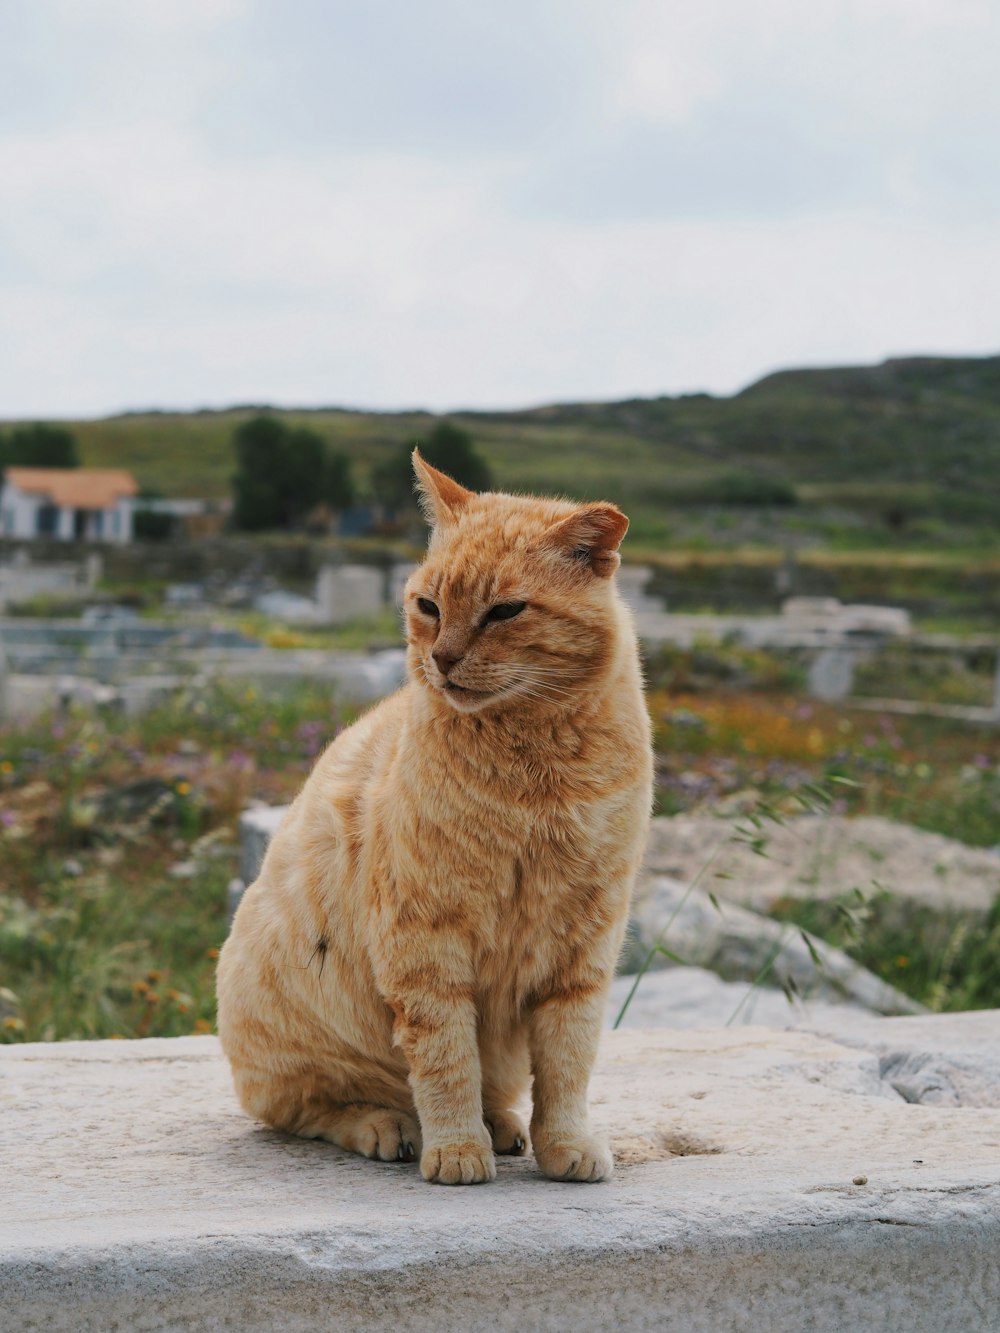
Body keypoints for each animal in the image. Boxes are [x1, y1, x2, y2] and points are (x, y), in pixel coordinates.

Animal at [216, 453, 653, 1183]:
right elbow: (447, 1058)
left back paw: (502, 1124)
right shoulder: (424, 937)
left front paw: (565, 1143)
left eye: (505, 611)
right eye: (429, 606)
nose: (443, 657)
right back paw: (392, 1126)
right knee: (309, 1106)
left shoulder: (584, 946)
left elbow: (568, 1062)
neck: (532, 778)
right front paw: (455, 1149)